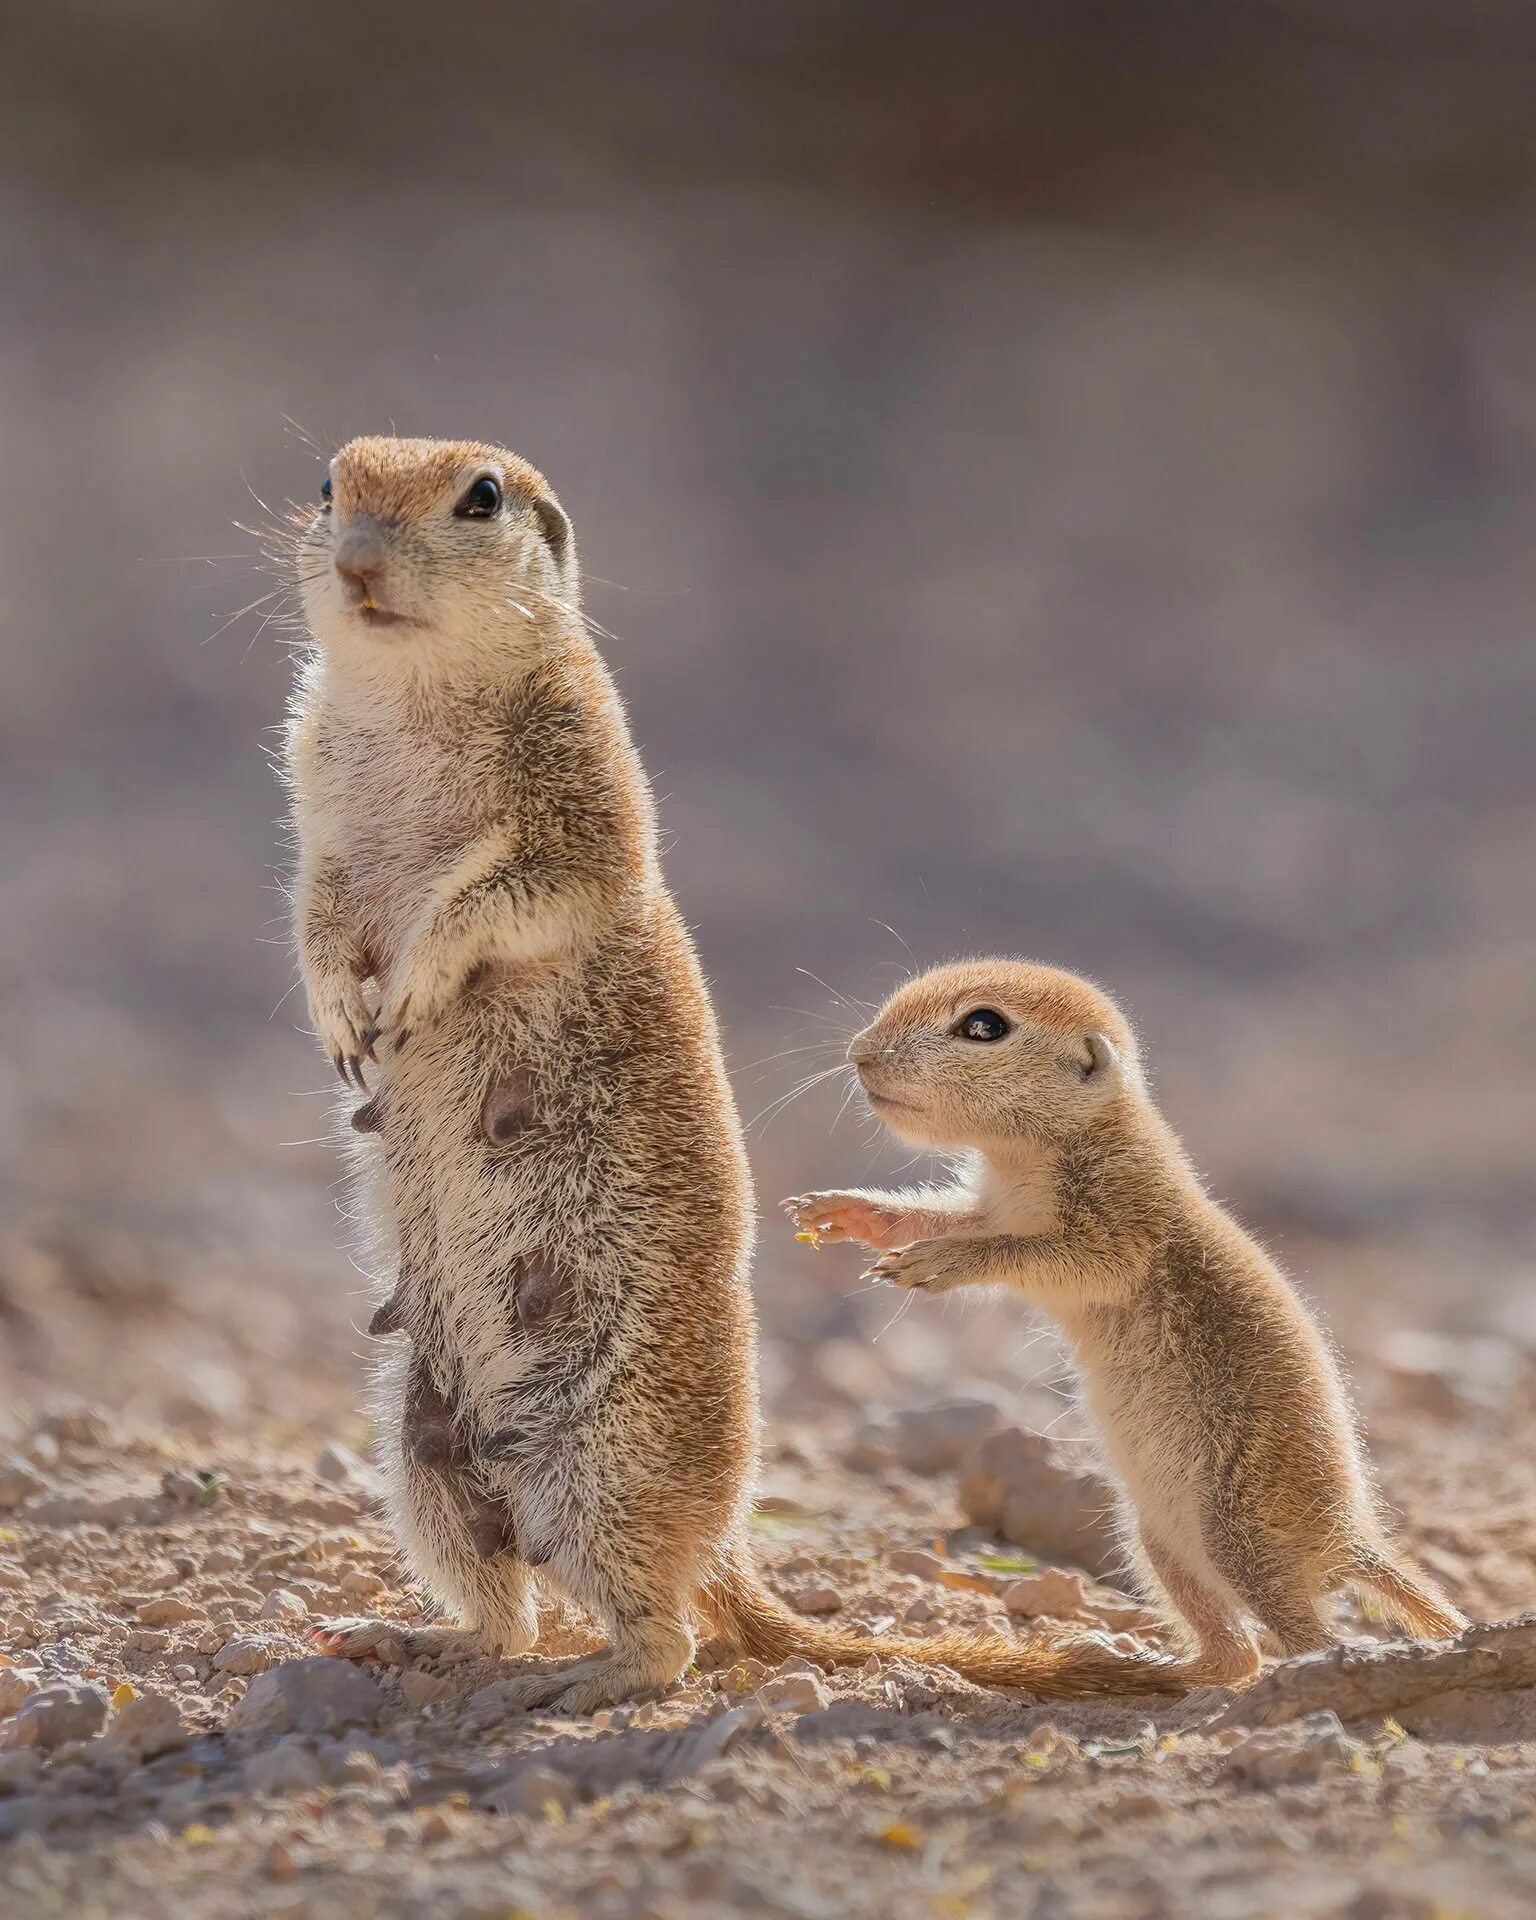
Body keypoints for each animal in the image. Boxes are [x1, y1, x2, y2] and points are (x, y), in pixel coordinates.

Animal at [282, 439, 1198, 1712]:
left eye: (481, 498)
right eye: (329, 488)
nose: (358, 563)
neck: (407, 691)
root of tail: (721, 1545)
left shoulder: (582, 795)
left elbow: (507, 893)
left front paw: (414, 985)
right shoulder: (313, 801)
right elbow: (317, 913)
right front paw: (342, 1013)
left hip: (602, 1461)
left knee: (661, 1636)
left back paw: (584, 1680)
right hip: (422, 1447)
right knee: (504, 1599)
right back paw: (418, 1641)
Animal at [787, 960, 1466, 1681]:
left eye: (983, 1025)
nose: (859, 1054)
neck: (1033, 1153)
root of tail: (1347, 1537)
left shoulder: (1121, 1218)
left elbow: (1052, 1257)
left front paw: (937, 1261)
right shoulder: (992, 1204)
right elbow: (945, 1216)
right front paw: (852, 1212)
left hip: (1241, 1537)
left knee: (1304, 1636)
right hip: (1161, 1541)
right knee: (1236, 1654)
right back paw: (1151, 1668)